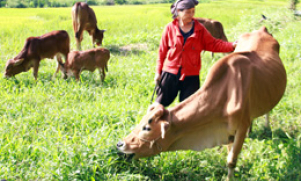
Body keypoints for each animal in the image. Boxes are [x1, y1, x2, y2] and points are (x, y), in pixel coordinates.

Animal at [116, 26, 286, 180]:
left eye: (147, 127)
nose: (120, 144)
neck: (224, 96)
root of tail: (262, 29)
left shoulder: (240, 128)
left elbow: (231, 161)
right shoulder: (229, 132)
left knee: (267, 111)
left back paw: (267, 126)